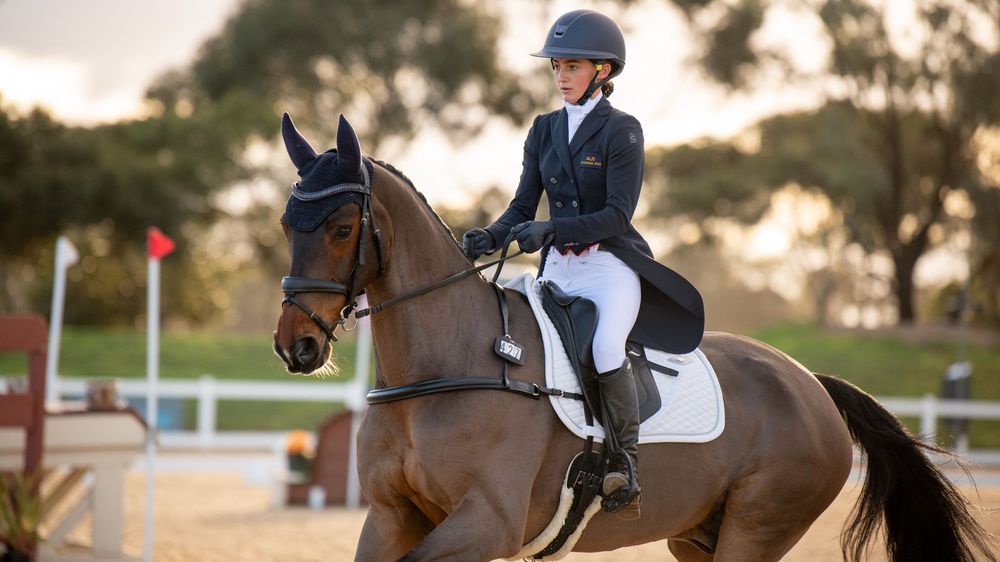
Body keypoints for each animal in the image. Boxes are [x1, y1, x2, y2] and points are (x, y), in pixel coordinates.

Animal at [272, 113, 996, 562]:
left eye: (342, 227)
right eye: (285, 223)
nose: (294, 346)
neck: (439, 372)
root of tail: (810, 381)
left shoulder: (487, 522)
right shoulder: (390, 518)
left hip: (757, 528)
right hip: (698, 536)